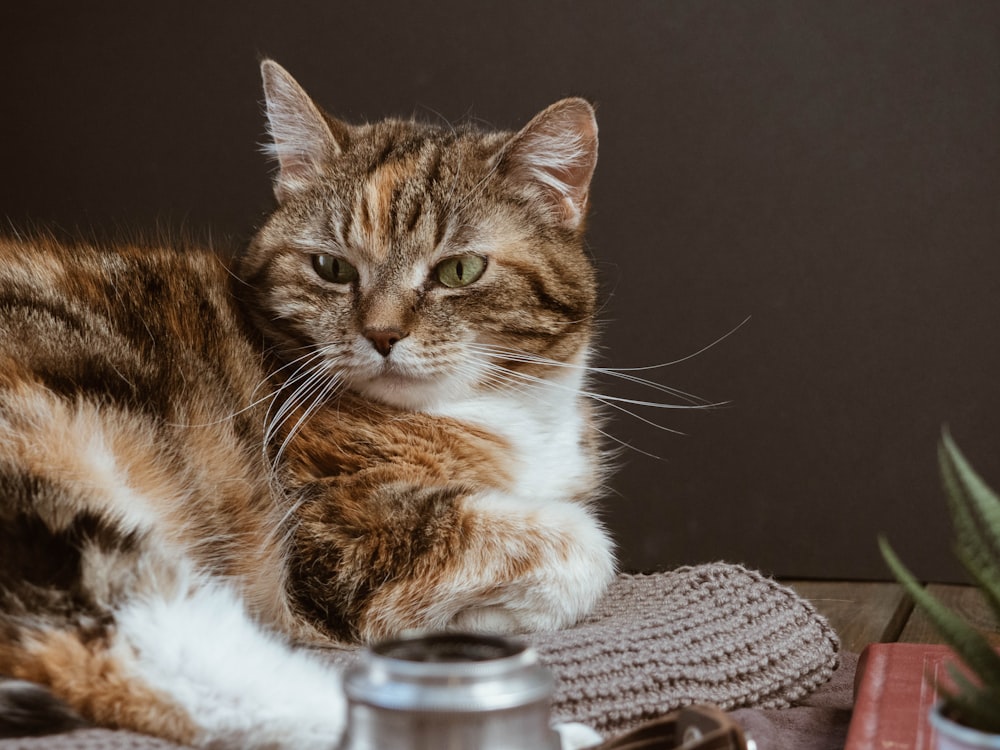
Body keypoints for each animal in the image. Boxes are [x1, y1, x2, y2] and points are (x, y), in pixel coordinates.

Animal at [0, 61, 612, 748]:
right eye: (331, 268)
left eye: (459, 270)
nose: (382, 334)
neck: (504, 412)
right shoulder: (336, 527)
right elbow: (583, 546)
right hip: (49, 495)